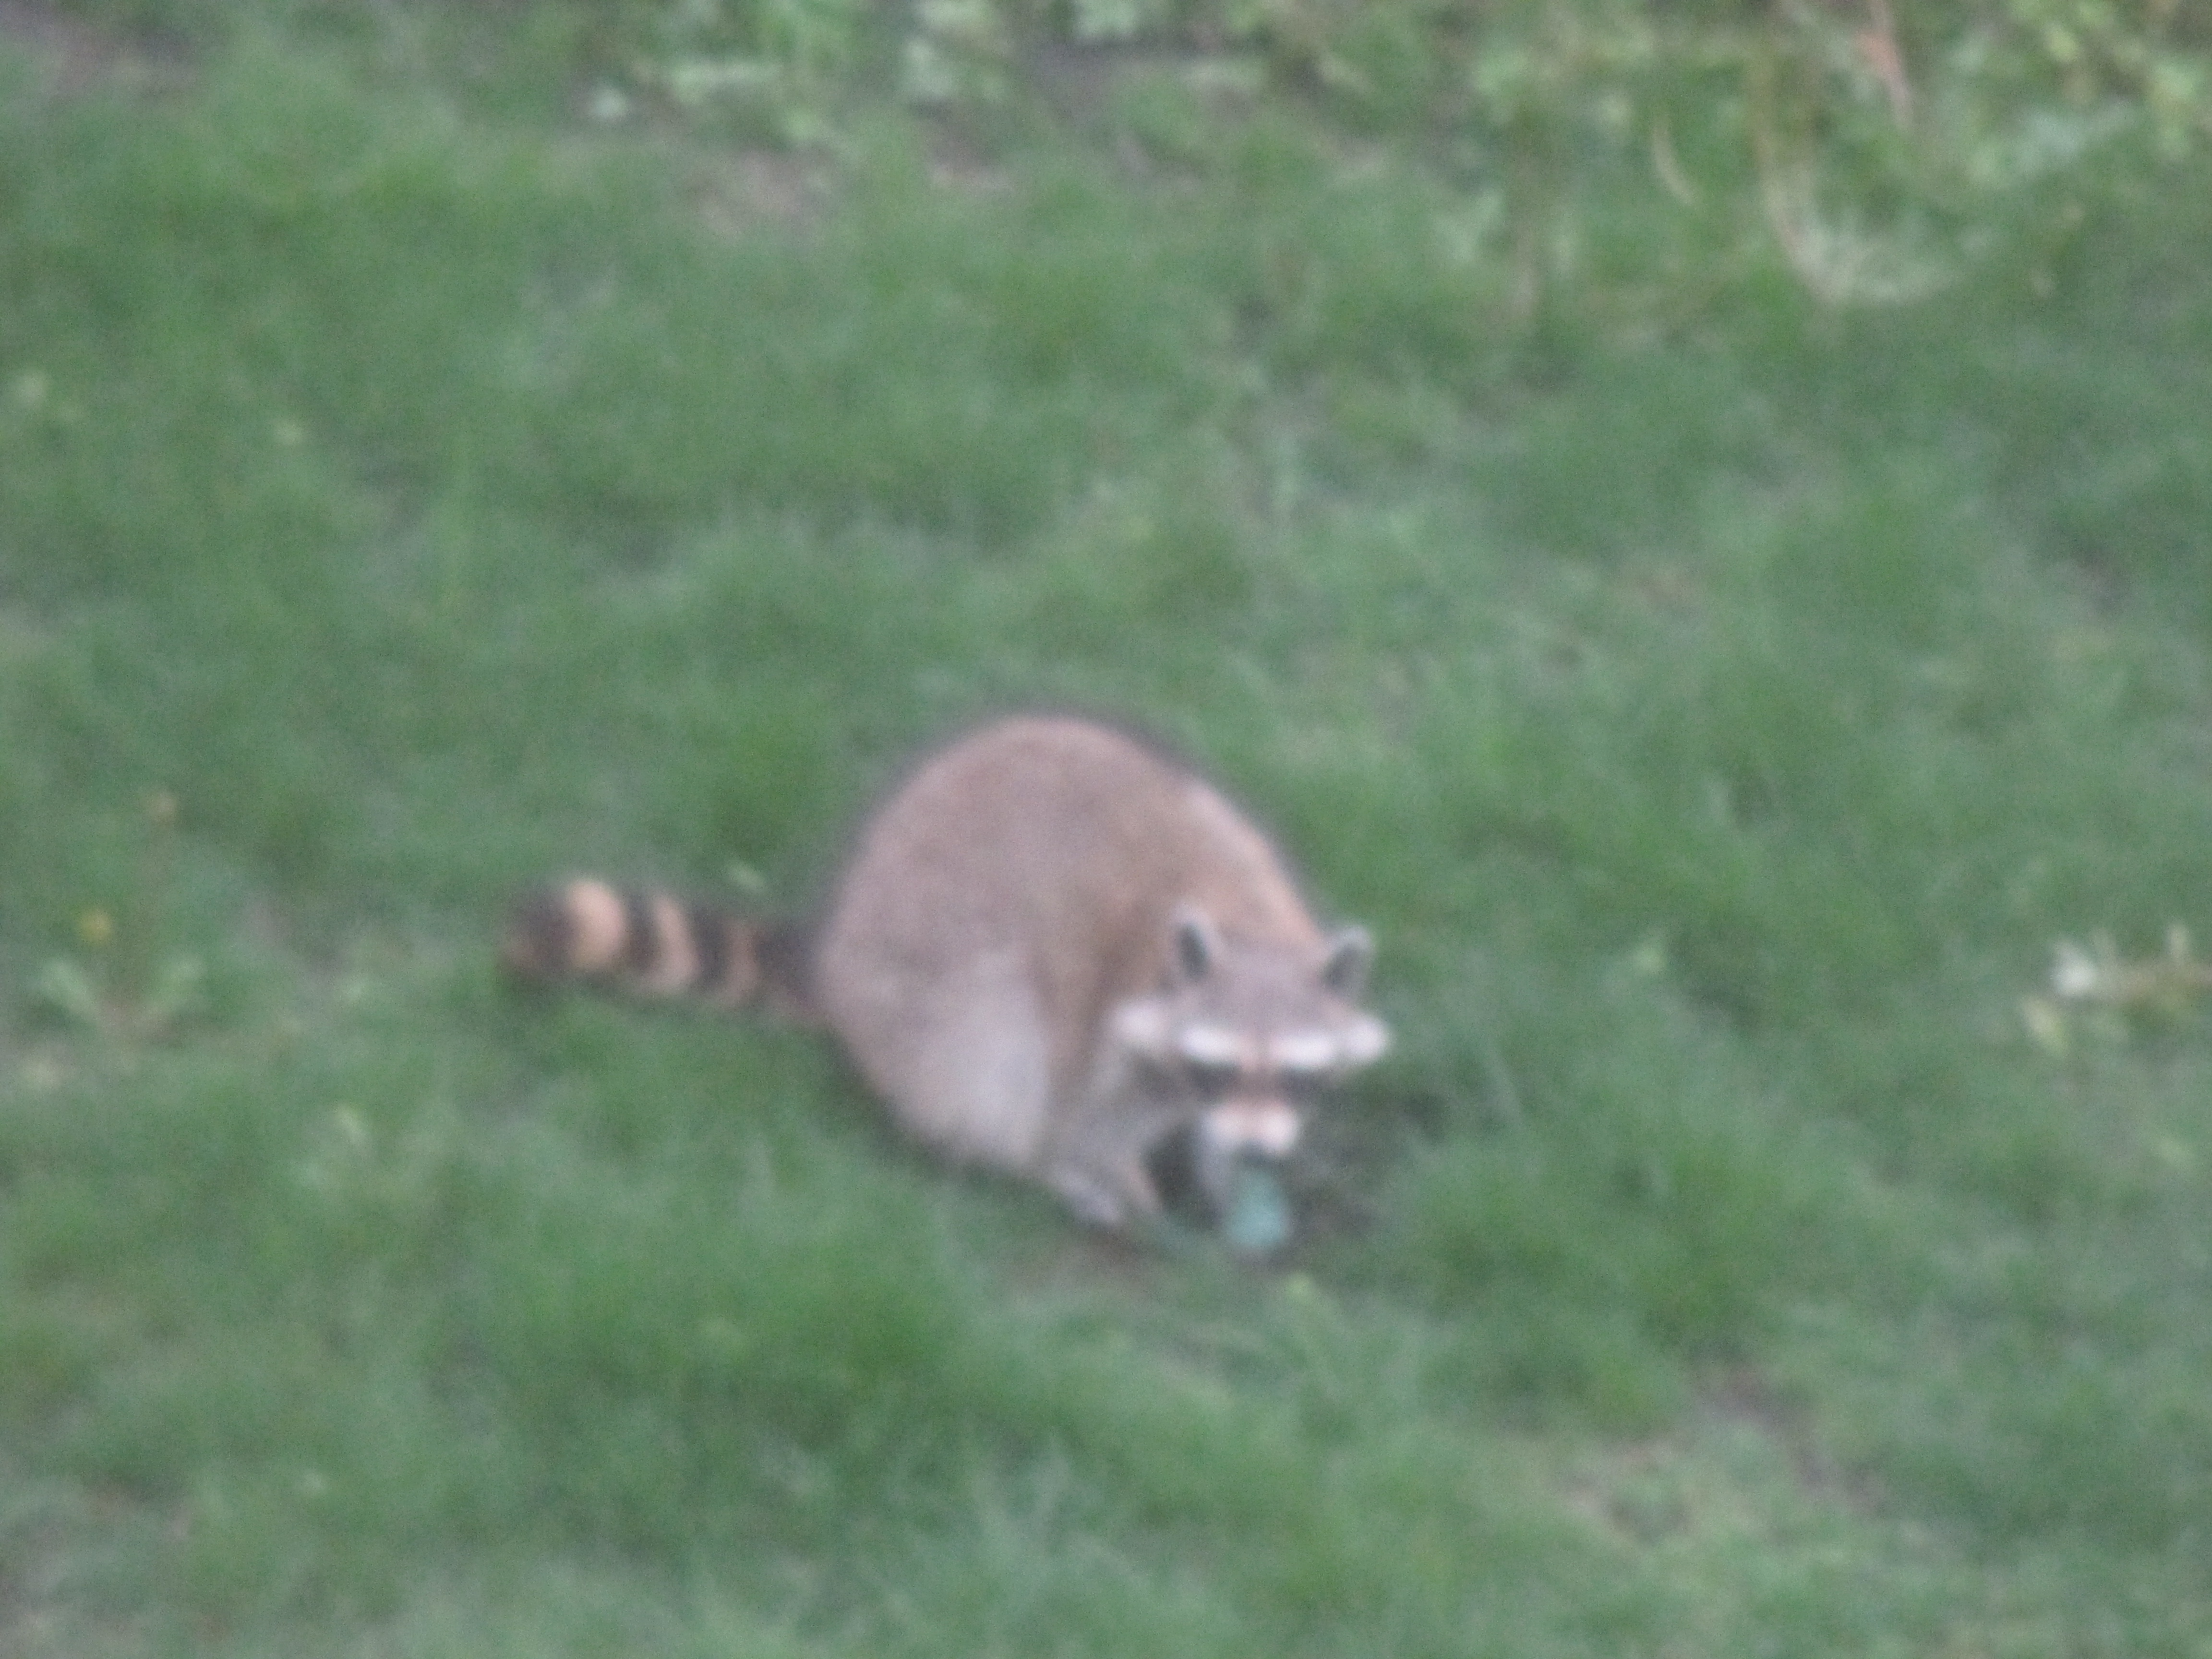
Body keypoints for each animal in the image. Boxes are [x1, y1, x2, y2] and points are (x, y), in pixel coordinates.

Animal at [503, 714, 1389, 1232]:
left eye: (1299, 1076)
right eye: (1217, 1067)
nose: (1262, 1157)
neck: (1245, 921)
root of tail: (838, 948)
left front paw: (1221, 1165)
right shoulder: (1105, 1004)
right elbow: (1082, 1109)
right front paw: (1099, 1170)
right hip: (931, 980)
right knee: (995, 1060)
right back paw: (1029, 1163)